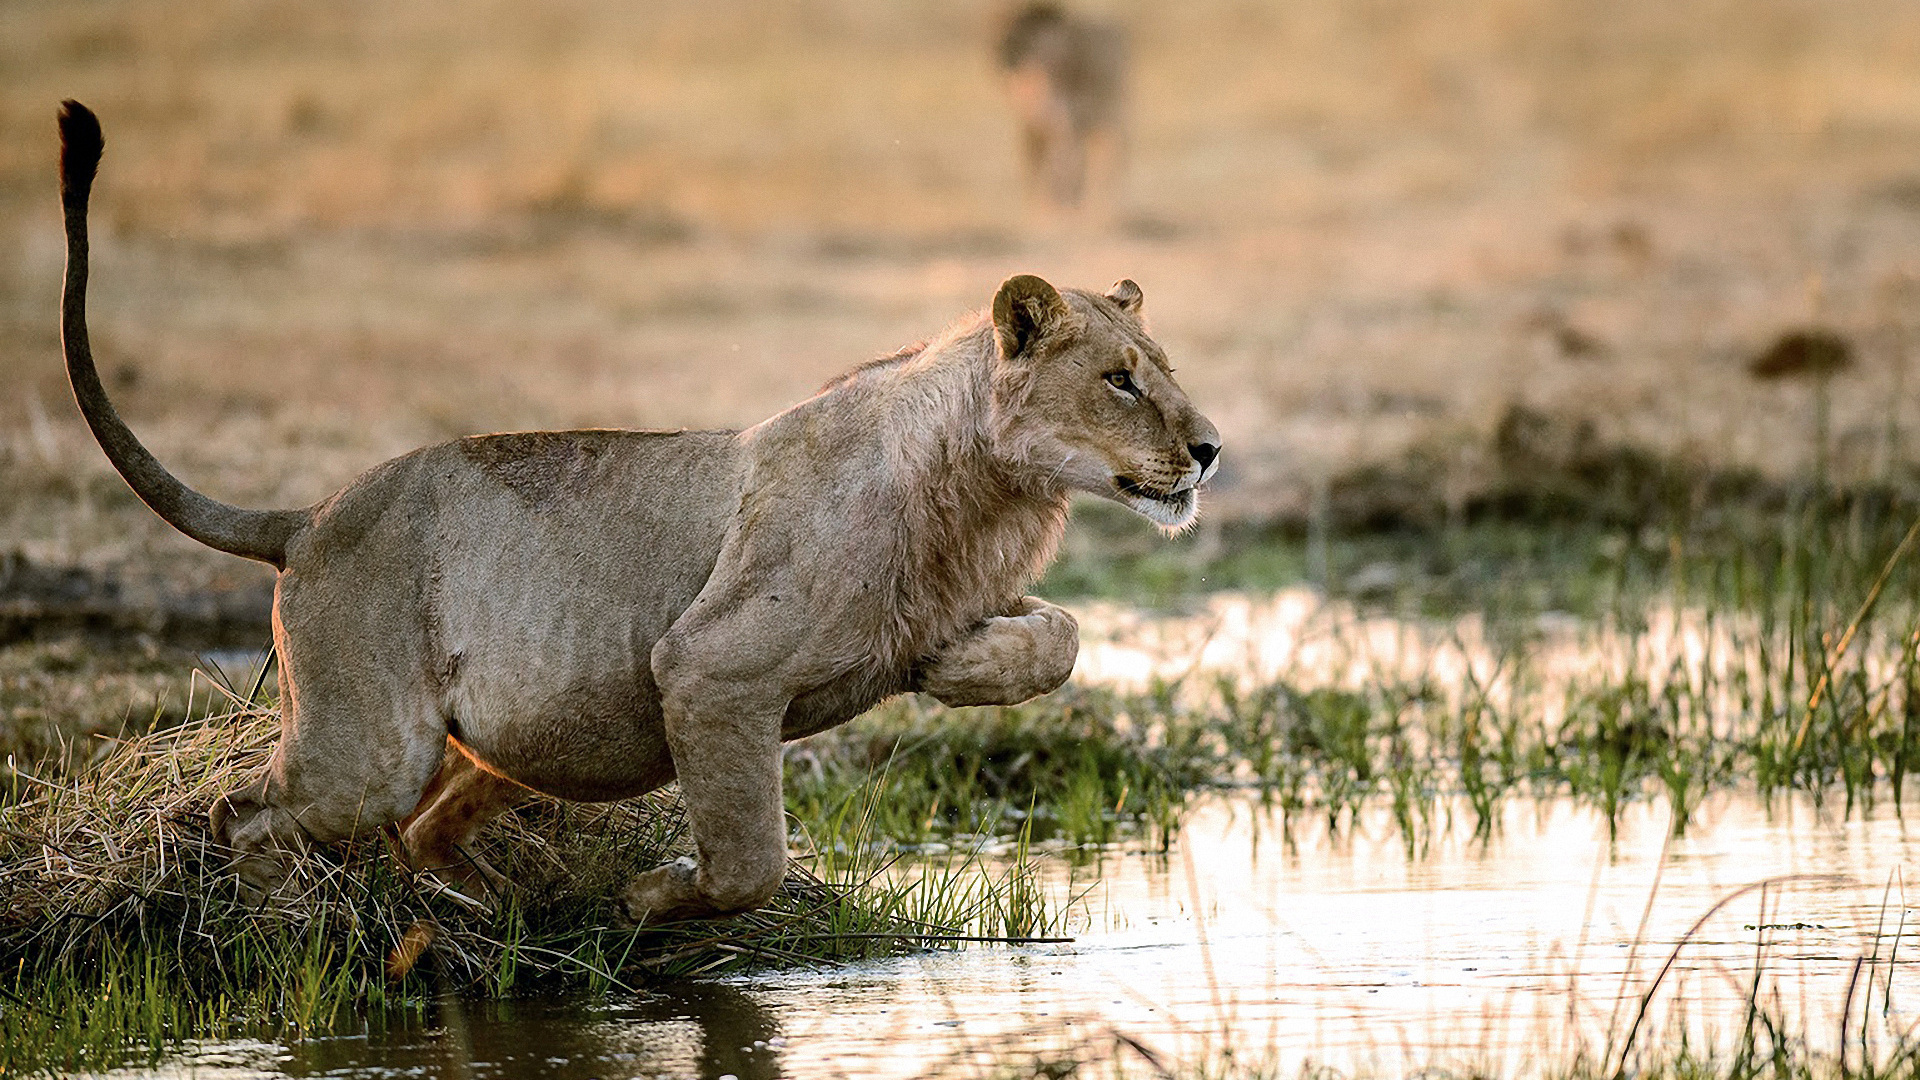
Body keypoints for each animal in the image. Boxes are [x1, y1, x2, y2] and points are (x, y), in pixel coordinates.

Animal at [67, 100, 1221, 922]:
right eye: (1120, 380)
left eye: (1163, 368)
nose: (1211, 450)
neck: (993, 491)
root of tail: (306, 517)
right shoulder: (711, 669)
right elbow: (751, 861)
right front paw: (655, 893)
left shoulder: (965, 593)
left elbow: (1063, 635)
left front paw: (954, 668)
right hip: (371, 752)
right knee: (249, 816)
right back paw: (286, 920)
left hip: (532, 741)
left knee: (421, 835)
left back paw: (513, 911)